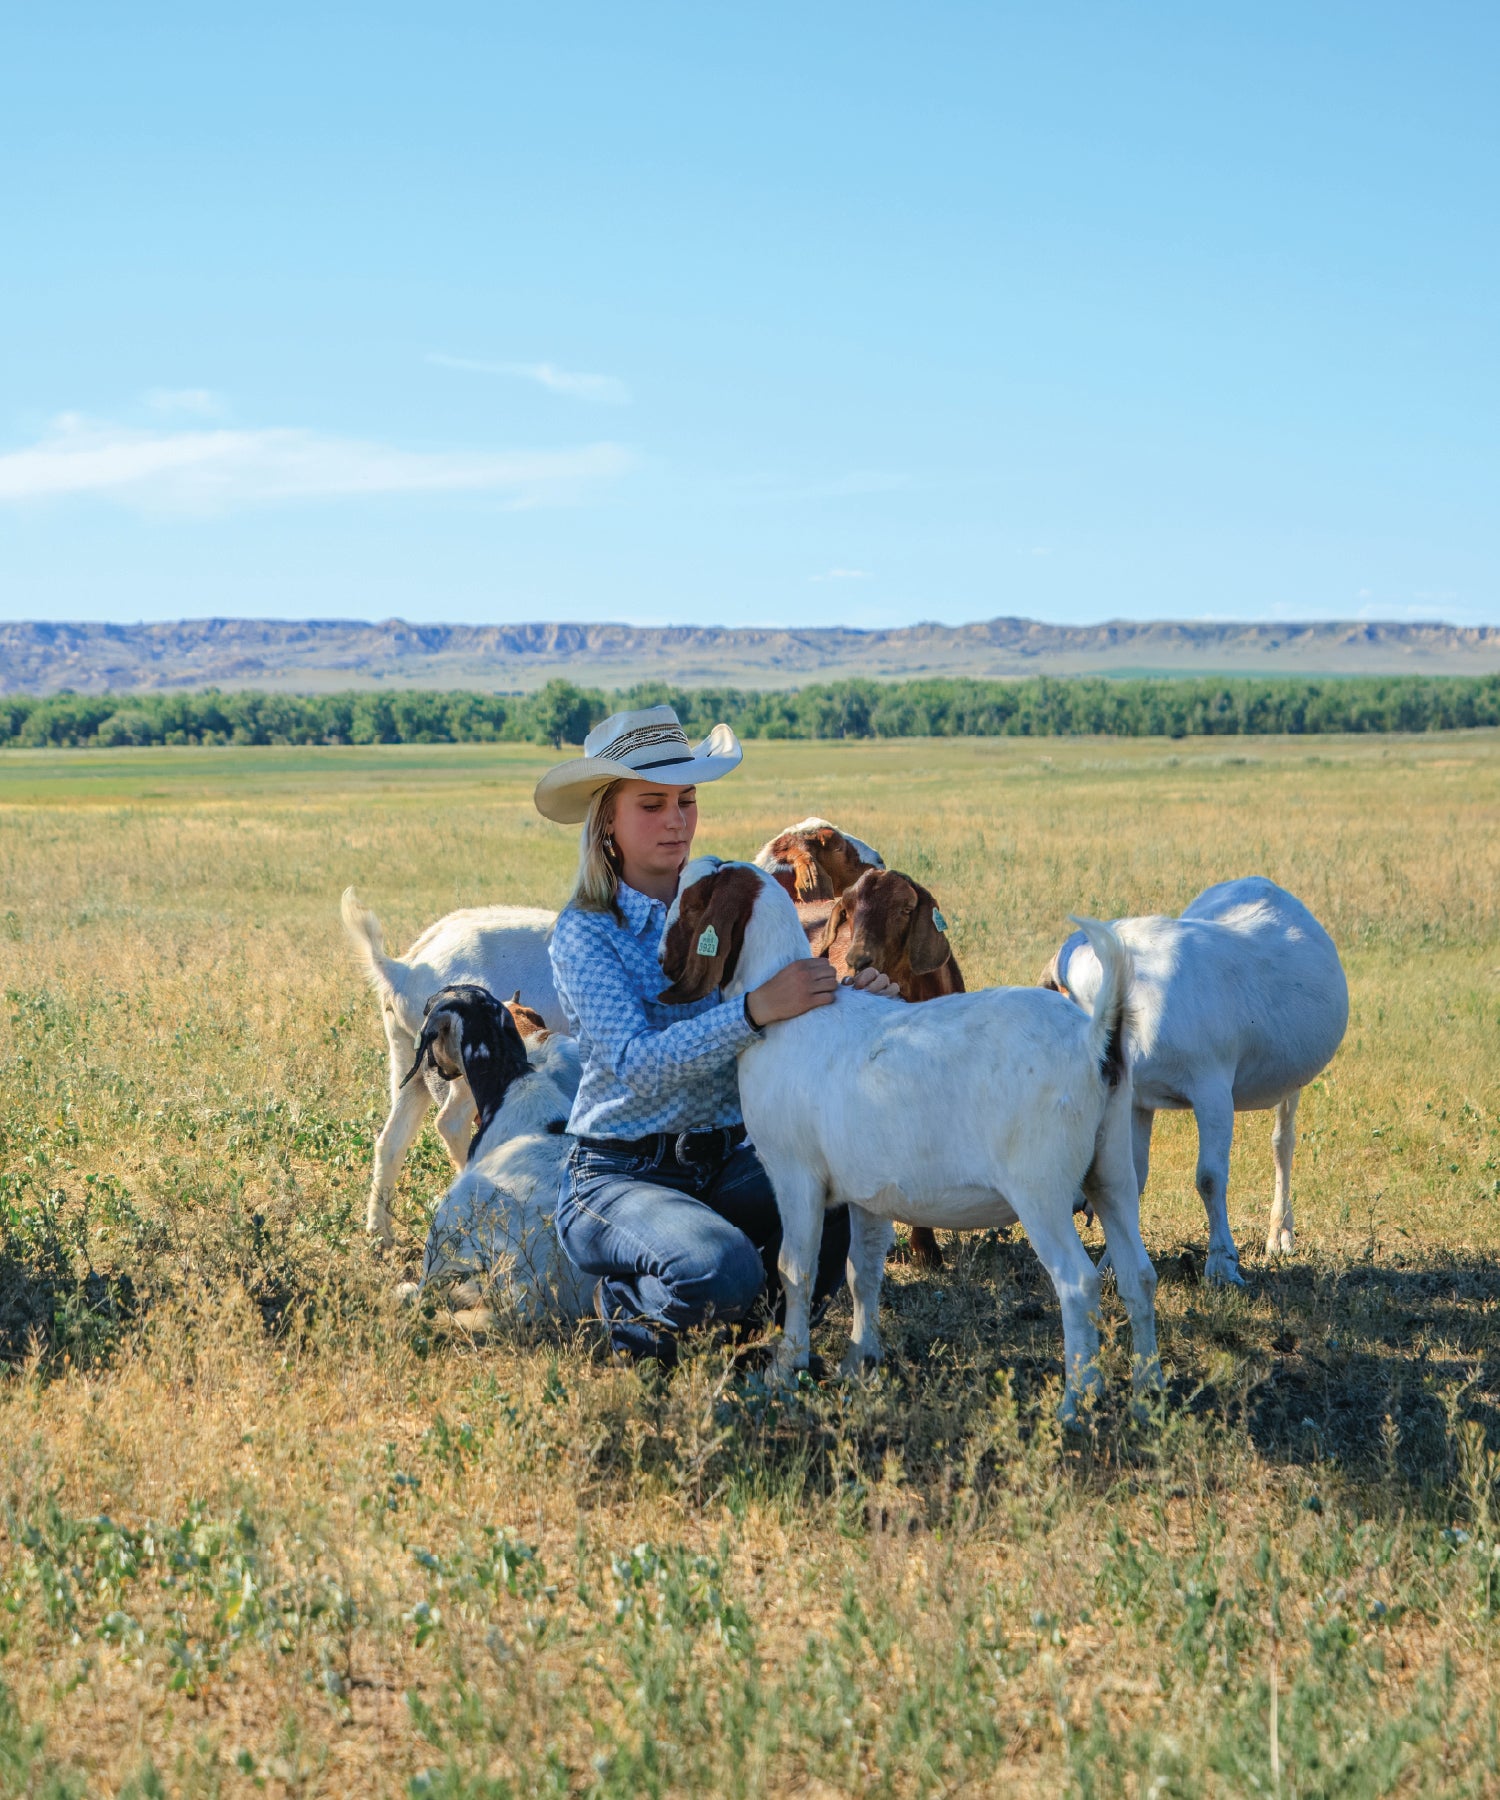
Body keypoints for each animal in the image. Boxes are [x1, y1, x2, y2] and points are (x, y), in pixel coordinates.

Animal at [340, 888, 567, 1245]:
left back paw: (380, 1234)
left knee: (390, 1141)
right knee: (451, 1122)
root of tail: (404, 970)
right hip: (464, 1073)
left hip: (408, 1067)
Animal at [660, 860, 1160, 1422]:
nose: (660, 958)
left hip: (1041, 1188)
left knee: (1078, 1283)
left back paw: (1076, 1405)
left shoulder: (794, 1174)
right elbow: (863, 1272)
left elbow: (796, 1269)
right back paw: (1148, 1393)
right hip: (1112, 1169)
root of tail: (1094, 1040)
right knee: (1138, 1276)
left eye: (692, 902)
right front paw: (858, 1363)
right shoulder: (864, 1189)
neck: (791, 1020)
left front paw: (784, 1370)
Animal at [1041, 876, 1348, 1286]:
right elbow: (1132, 1178)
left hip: (1291, 1081)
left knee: (1283, 1143)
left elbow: (1210, 1178)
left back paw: (1280, 1234)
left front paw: (1223, 1264)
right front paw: (1112, 1263)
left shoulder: (1213, 1092)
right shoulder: (1137, 1100)